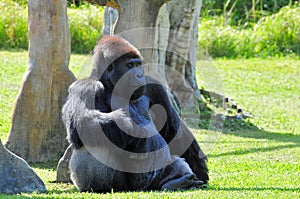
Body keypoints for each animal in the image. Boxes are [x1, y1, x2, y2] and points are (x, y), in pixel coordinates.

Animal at [62, 35, 209, 193]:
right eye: (130, 66)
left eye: (138, 65)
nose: (139, 75)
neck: (111, 85)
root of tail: (145, 188)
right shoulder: (85, 87)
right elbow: (83, 123)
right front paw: (138, 131)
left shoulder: (154, 85)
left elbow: (173, 127)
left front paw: (200, 168)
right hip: (125, 185)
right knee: (93, 141)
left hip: (155, 178)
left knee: (173, 167)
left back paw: (176, 182)